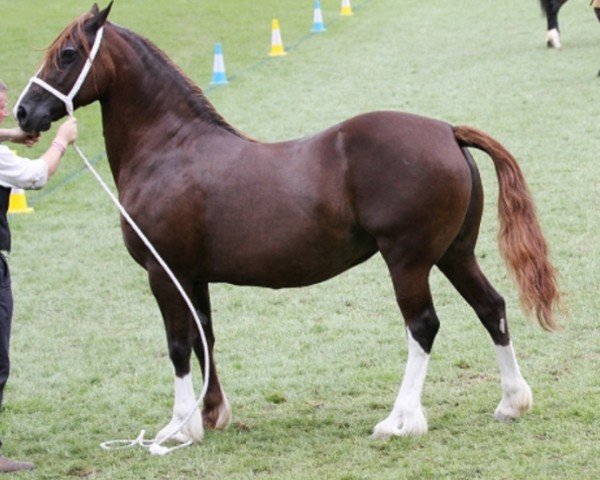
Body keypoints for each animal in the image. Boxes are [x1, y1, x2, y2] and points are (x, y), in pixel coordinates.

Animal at [15, 3, 564, 444]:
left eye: (68, 54)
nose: (23, 112)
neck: (170, 149)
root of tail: (448, 131)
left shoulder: (162, 272)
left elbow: (177, 346)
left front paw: (179, 428)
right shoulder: (192, 276)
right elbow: (204, 337)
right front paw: (211, 415)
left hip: (408, 261)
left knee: (423, 326)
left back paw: (400, 421)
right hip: (455, 254)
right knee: (491, 308)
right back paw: (512, 402)